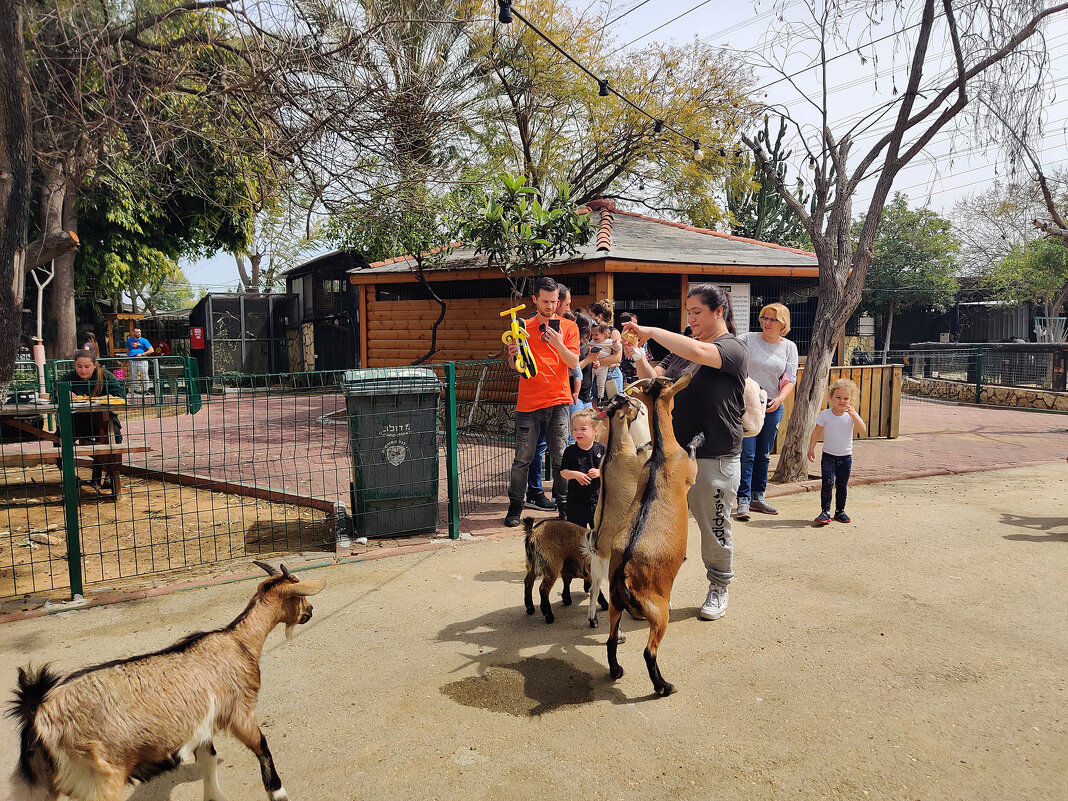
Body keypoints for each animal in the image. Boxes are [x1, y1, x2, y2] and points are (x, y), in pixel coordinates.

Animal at [7, 559, 324, 801]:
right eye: (301, 596)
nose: (310, 612)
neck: (239, 642)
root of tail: (37, 715)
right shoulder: (238, 712)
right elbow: (262, 746)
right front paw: (278, 792)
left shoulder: (200, 726)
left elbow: (208, 760)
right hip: (98, 777)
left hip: (39, 784)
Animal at [610, 375, 700, 696]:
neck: (662, 453)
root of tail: (624, 570)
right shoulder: (691, 472)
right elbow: (693, 452)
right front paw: (698, 437)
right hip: (659, 609)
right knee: (649, 651)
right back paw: (664, 686)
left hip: (614, 604)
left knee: (611, 640)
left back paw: (616, 671)